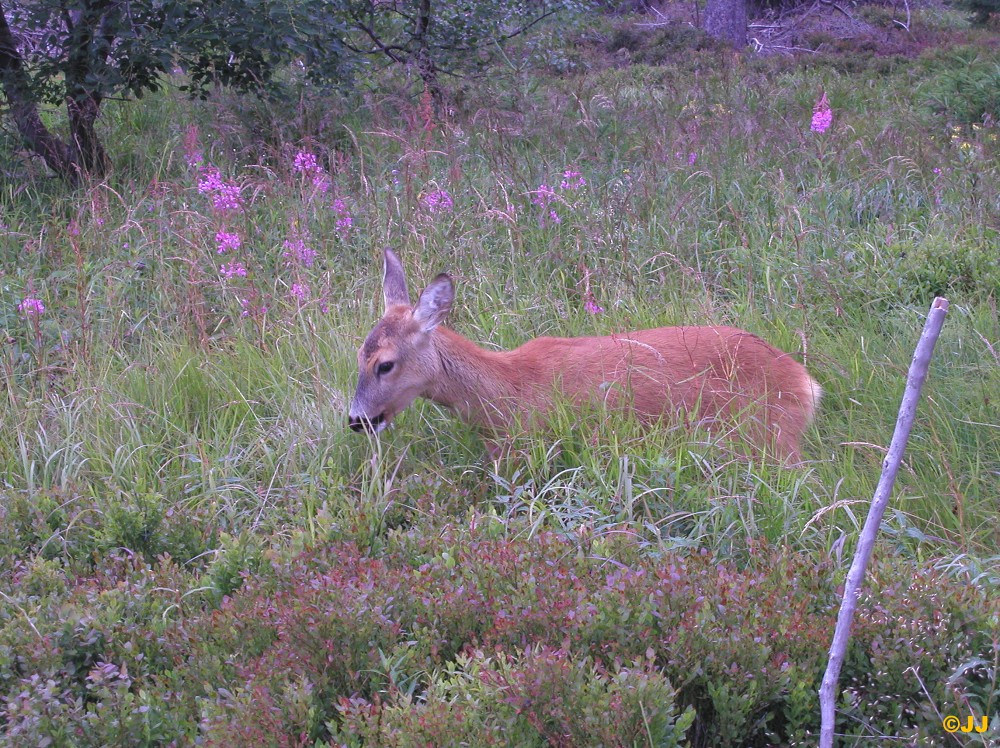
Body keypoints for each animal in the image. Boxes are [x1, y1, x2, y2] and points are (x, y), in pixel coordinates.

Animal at [350, 248, 820, 464]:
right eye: (359, 354)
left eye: (385, 364)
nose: (357, 420)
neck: (506, 392)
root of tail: (806, 383)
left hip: (770, 437)